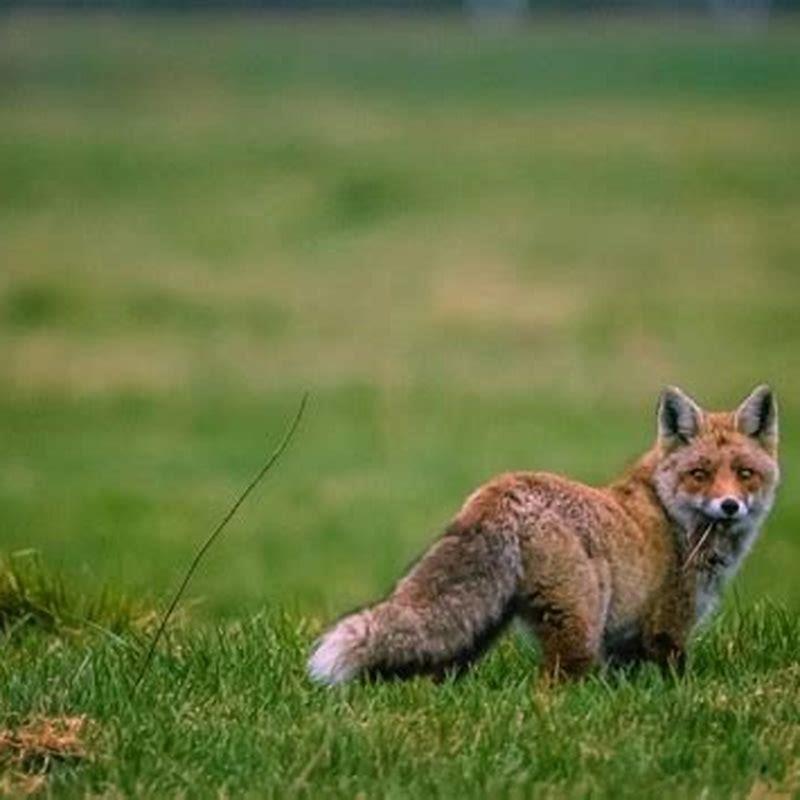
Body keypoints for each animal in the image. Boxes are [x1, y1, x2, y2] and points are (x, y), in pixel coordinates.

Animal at [308, 385, 780, 685]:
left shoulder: (625, 645)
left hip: (476, 631)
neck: (672, 516)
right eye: (700, 474)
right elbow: (674, 681)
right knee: (550, 688)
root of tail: (502, 491)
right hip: (579, 632)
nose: (730, 505)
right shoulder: (667, 626)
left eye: (744, 473)